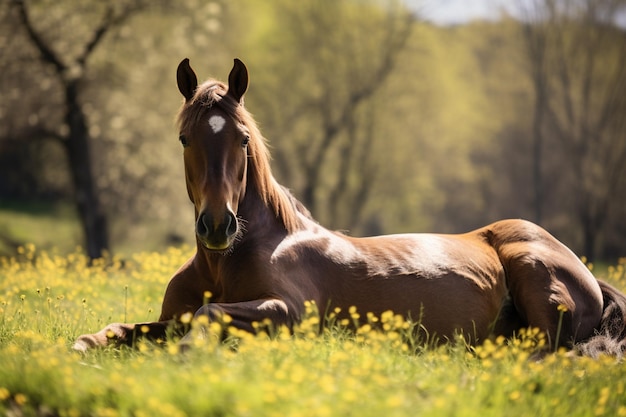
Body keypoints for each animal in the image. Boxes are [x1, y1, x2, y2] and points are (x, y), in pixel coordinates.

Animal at [73, 57, 624, 358]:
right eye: (185, 138)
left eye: (242, 139)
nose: (216, 225)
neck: (227, 260)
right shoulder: (170, 316)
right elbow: (122, 329)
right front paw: (82, 346)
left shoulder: (289, 311)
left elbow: (207, 317)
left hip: (534, 277)